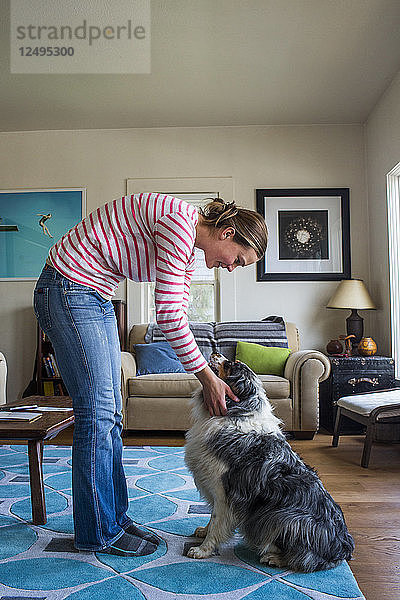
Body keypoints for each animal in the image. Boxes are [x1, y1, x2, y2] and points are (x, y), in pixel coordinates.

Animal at [184, 354, 354, 576]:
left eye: (231, 365)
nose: (215, 354)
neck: (237, 412)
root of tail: (343, 546)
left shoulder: (224, 490)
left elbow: (216, 521)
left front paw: (203, 549)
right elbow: (211, 519)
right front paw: (202, 531)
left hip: (285, 517)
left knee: (306, 559)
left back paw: (274, 557)